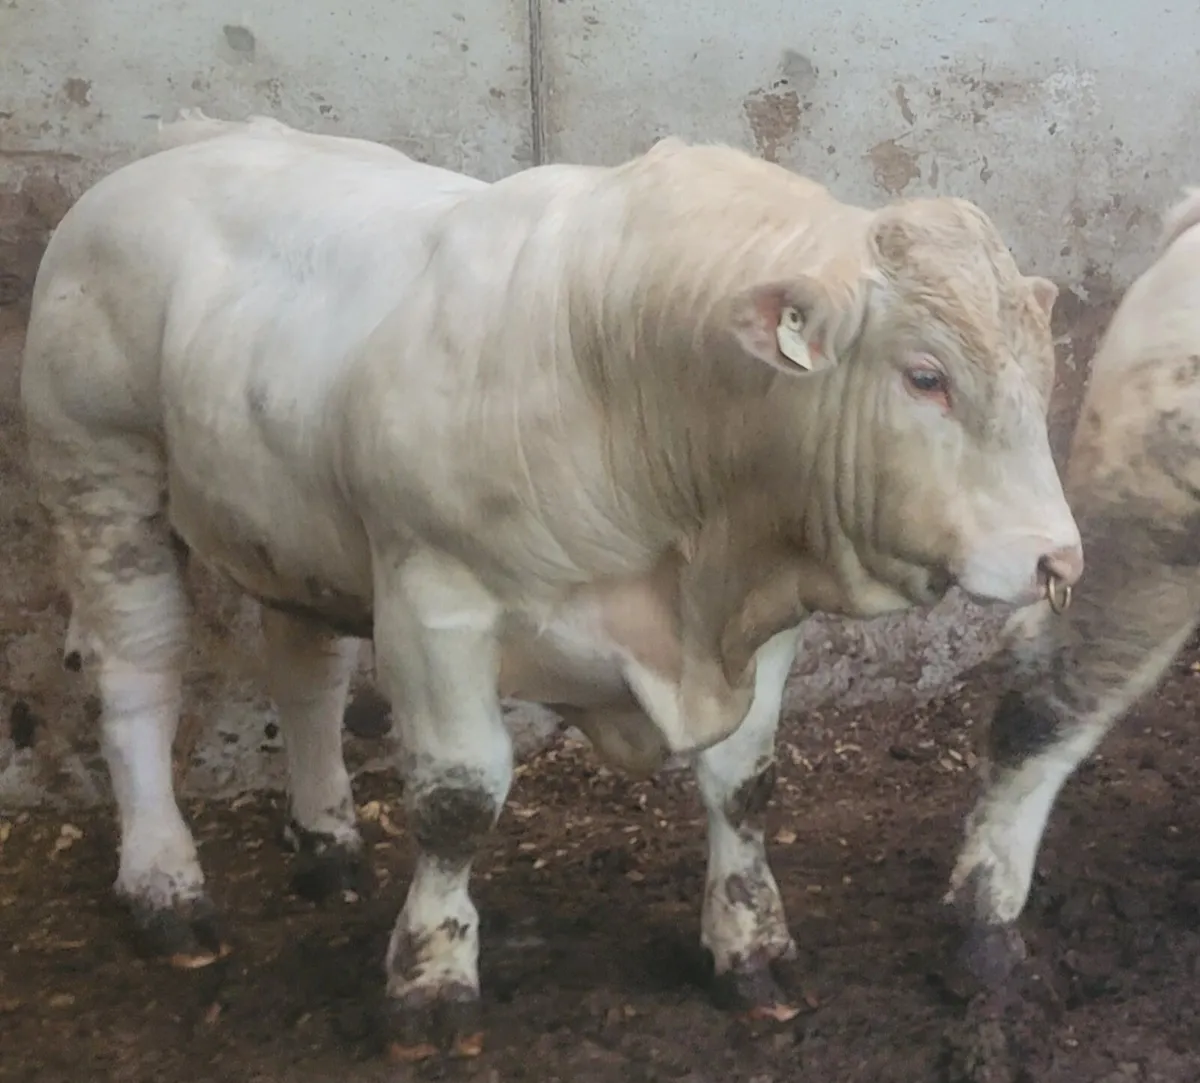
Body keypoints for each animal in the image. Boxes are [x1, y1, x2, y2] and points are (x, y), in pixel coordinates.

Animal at [20, 111, 1081, 1060]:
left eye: (1042, 376)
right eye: (926, 376)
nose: (1056, 559)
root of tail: (188, 139)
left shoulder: (763, 618)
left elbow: (745, 784)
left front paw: (750, 946)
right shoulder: (436, 603)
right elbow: (458, 799)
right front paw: (431, 978)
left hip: (288, 528)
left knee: (306, 677)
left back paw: (327, 844)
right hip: (101, 474)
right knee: (138, 681)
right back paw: (167, 888)